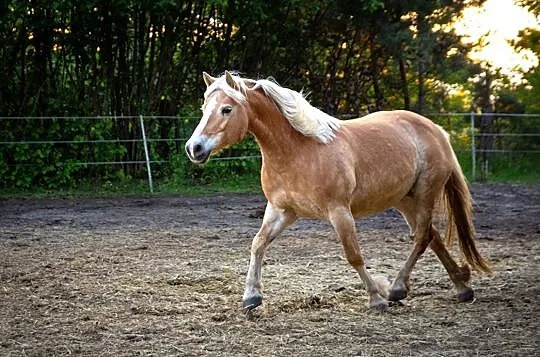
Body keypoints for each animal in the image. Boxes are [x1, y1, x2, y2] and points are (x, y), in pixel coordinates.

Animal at [185, 71, 490, 310]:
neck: (298, 150)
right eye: (203, 109)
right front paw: (251, 297)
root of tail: (435, 129)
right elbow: (258, 244)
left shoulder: (339, 212)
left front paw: (376, 298)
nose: (194, 148)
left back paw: (397, 288)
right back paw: (461, 287)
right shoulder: (281, 210)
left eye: (226, 109)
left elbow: (353, 254)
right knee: (431, 236)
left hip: (426, 194)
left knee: (422, 237)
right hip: (404, 200)